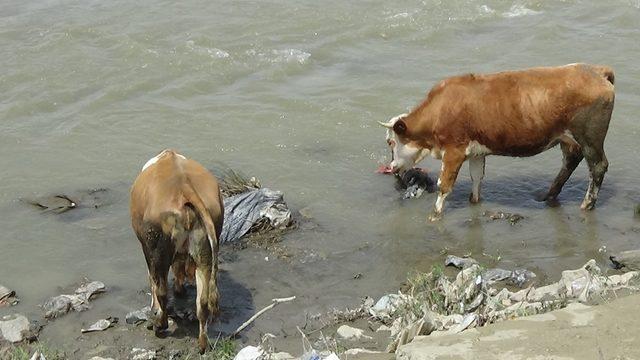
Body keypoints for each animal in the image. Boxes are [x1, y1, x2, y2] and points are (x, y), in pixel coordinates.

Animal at [129, 150, 224, 354]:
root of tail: (184, 188)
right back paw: (202, 344)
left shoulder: (148, 249)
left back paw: (159, 323)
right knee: (202, 302)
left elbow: (152, 280)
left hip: (157, 248)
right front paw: (180, 289)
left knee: (161, 289)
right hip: (205, 249)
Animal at [380, 63, 616, 221]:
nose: (391, 167)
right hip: (567, 138)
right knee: (570, 161)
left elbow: (444, 184)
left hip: (589, 137)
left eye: (391, 142)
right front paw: (474, 201)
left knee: (598, 166)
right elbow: (477, 177)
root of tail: (595, 70)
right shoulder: (476, 151)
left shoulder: (454, 150)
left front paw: (435, 214)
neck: (440, 109)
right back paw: (547, 196)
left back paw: (586, 204)